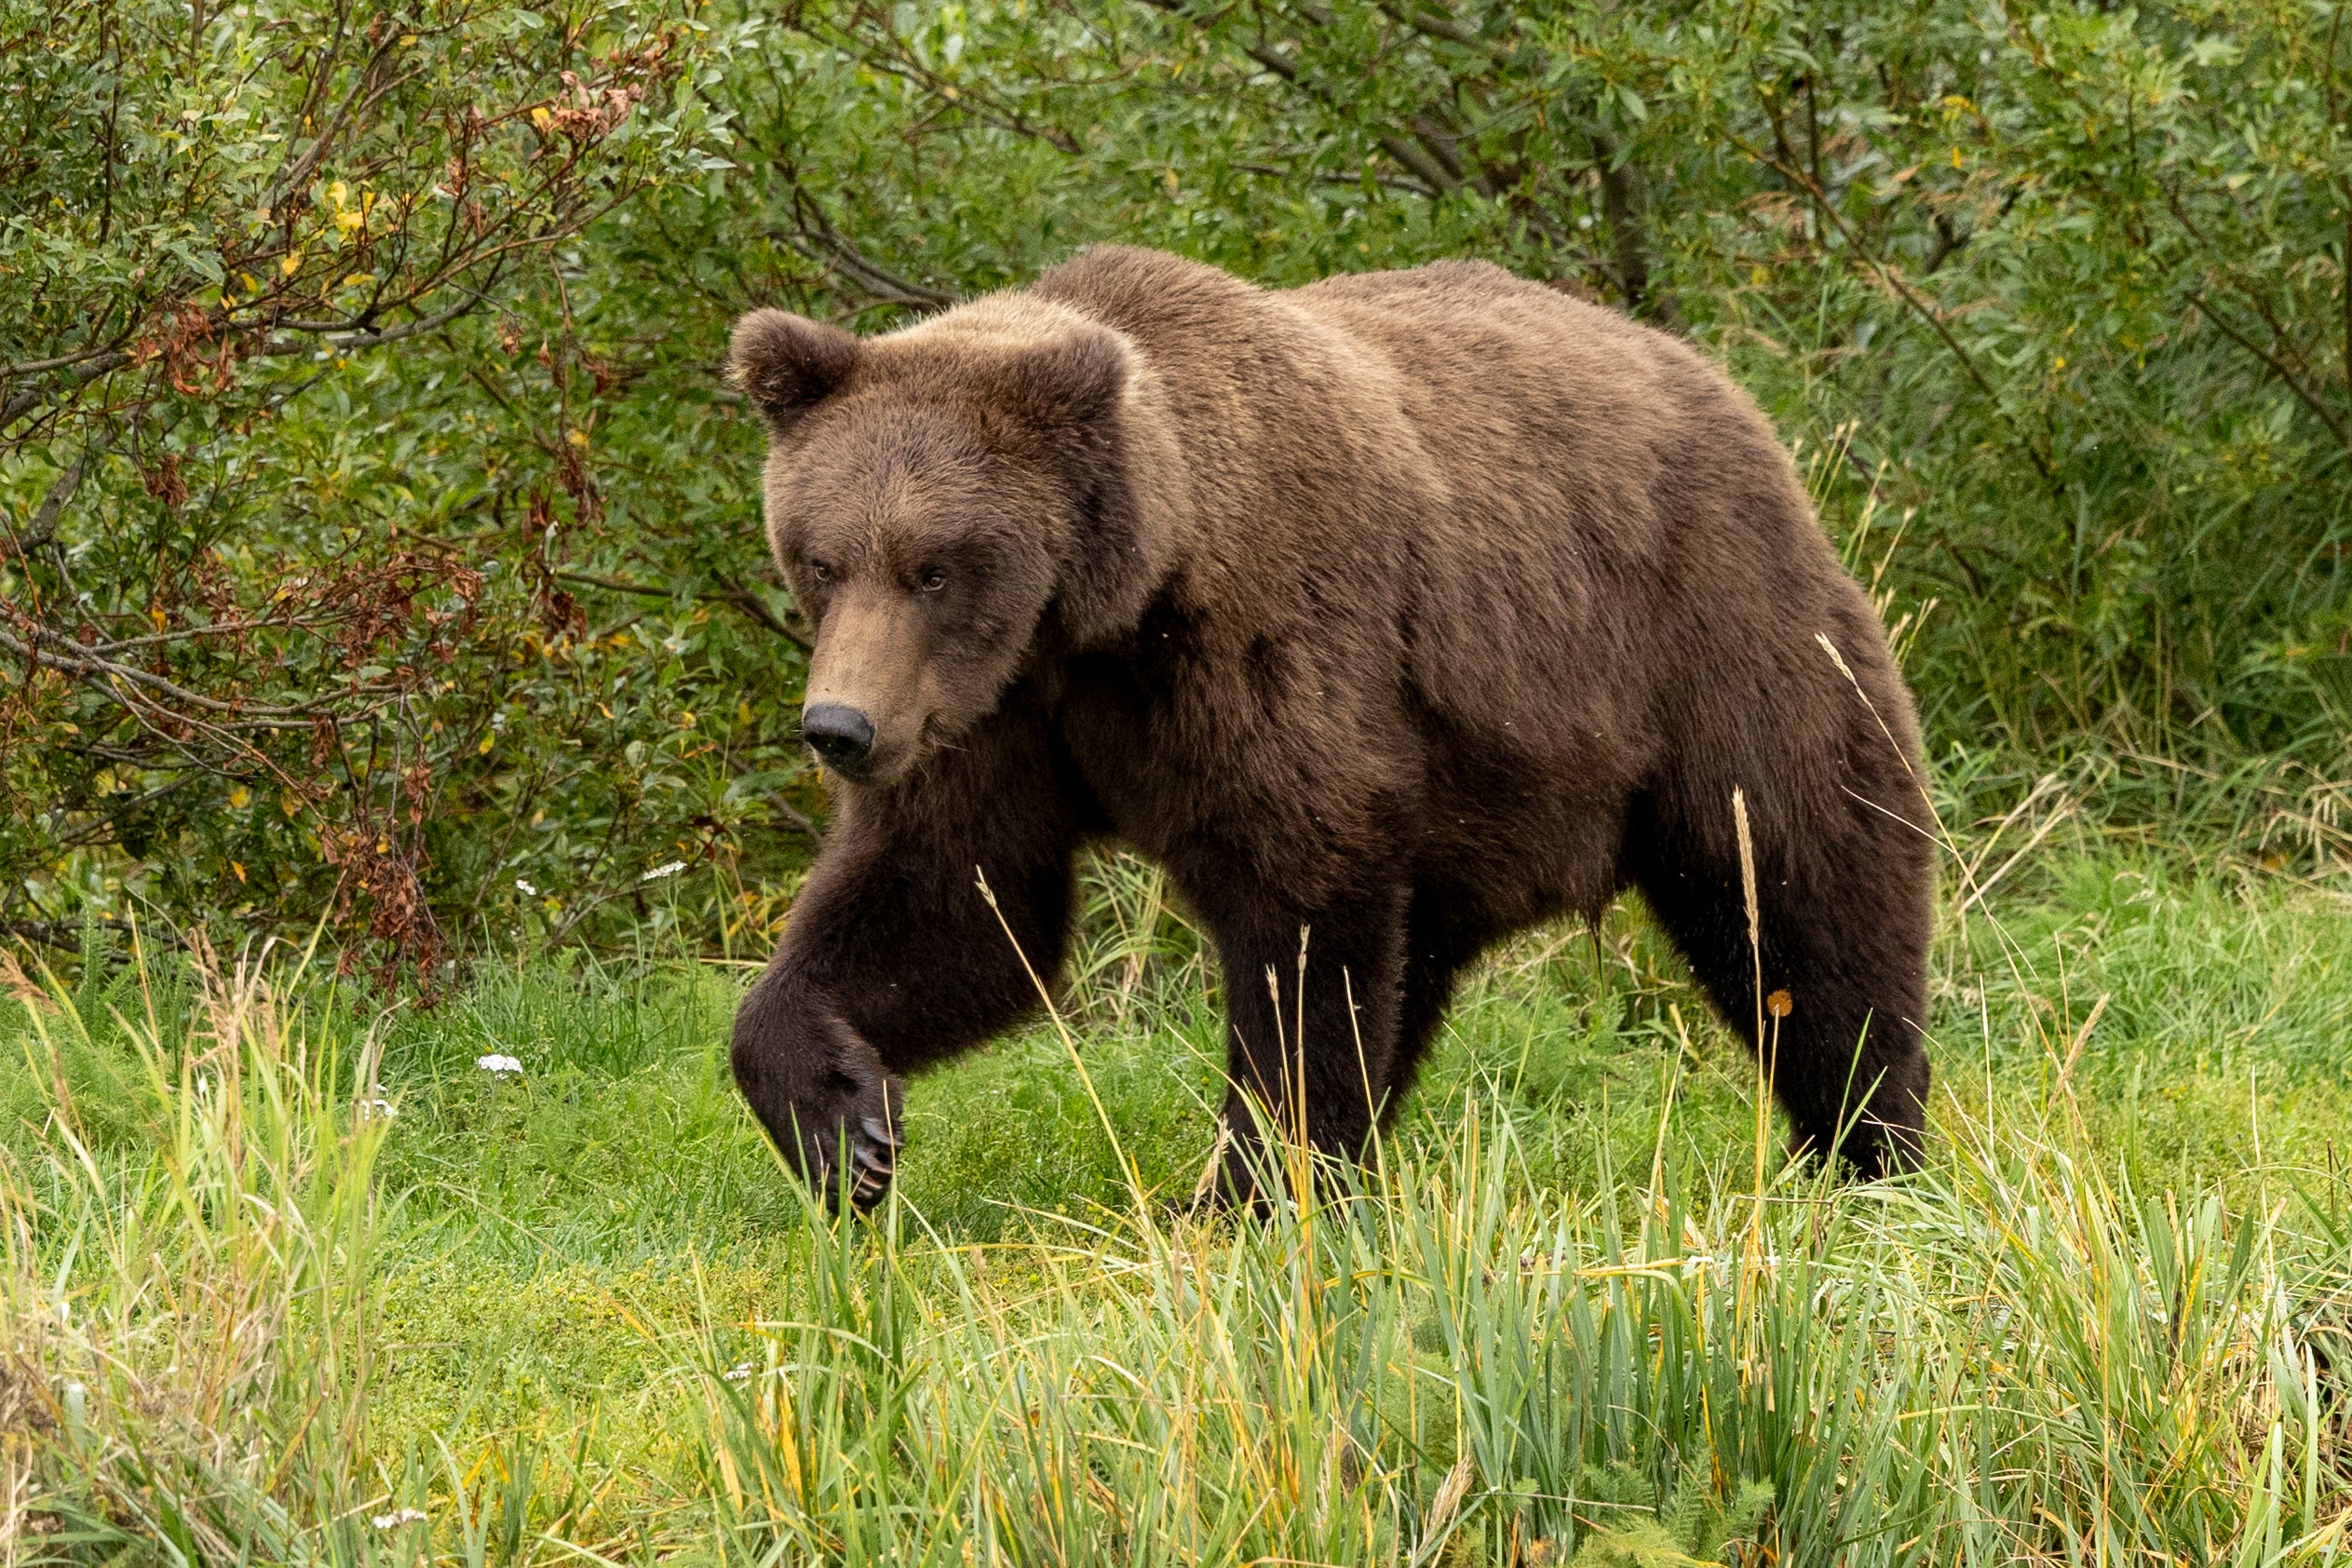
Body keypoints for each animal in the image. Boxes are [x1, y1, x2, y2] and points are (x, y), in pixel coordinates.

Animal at [729, 245, 1928, 1212]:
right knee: (1421, 963)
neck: (1108, 612)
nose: (839, 728)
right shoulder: (995, 712)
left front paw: (1248, 1189)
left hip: (1708, 642)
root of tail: (1716, 384)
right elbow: (955, 900)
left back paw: (1874, 1145)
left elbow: (1299, 915)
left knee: (1803, 887)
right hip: (1476, 795)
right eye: (821, 558)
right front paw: (844, 1129)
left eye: (933, 566)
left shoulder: (1264, 645)